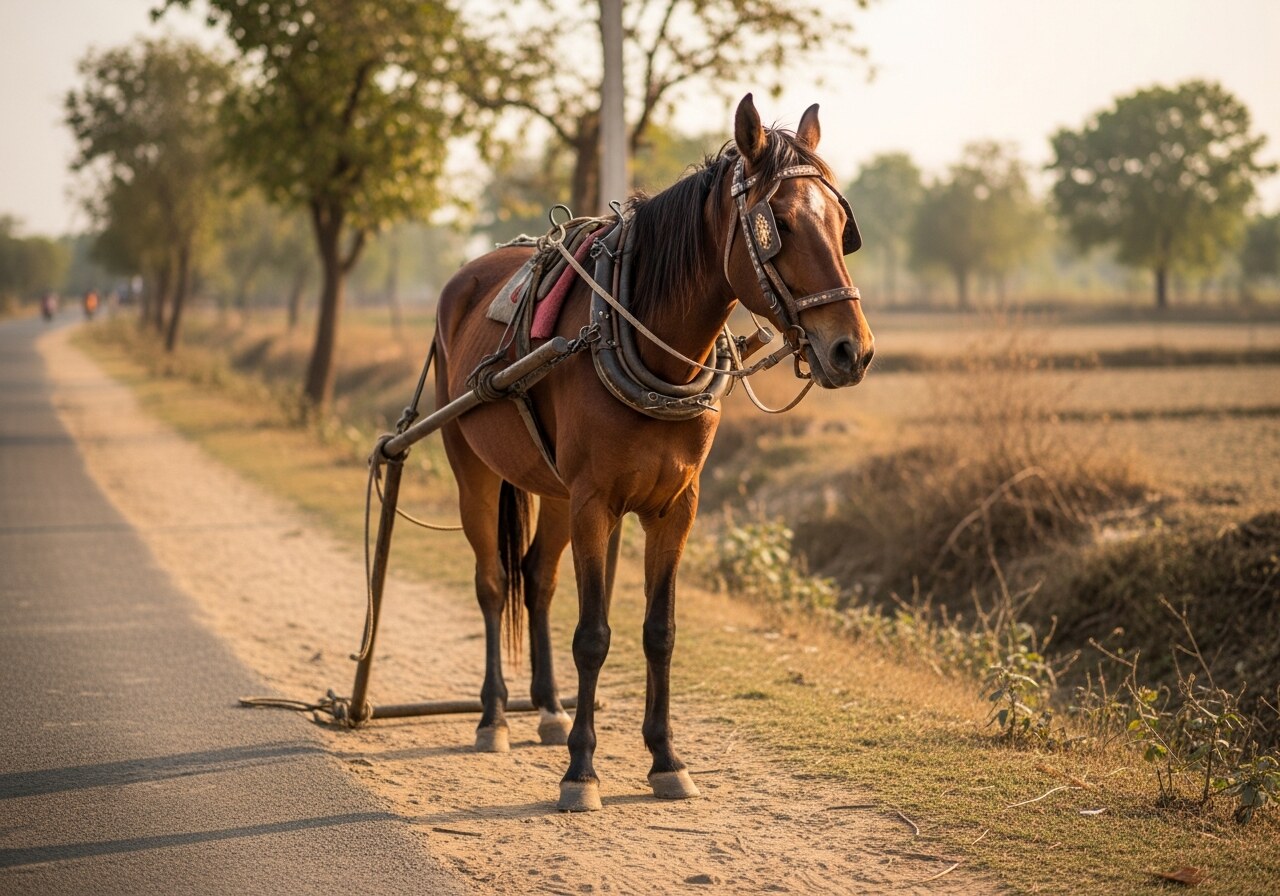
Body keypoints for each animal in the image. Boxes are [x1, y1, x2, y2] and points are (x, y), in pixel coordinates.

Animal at [432, 94, 874, 811]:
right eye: (777, 223)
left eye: (840, 224)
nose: (851, 351)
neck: (647, 340)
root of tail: (467, 277)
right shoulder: (595, 503)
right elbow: (593, 636)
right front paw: (582, 770)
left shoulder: (676, 505)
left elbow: (657, 632)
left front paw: (665, 758)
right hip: (472, 466)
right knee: (495, 583)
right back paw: (494, 716)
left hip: (552, 488)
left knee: (537, 578)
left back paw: (547, 709)